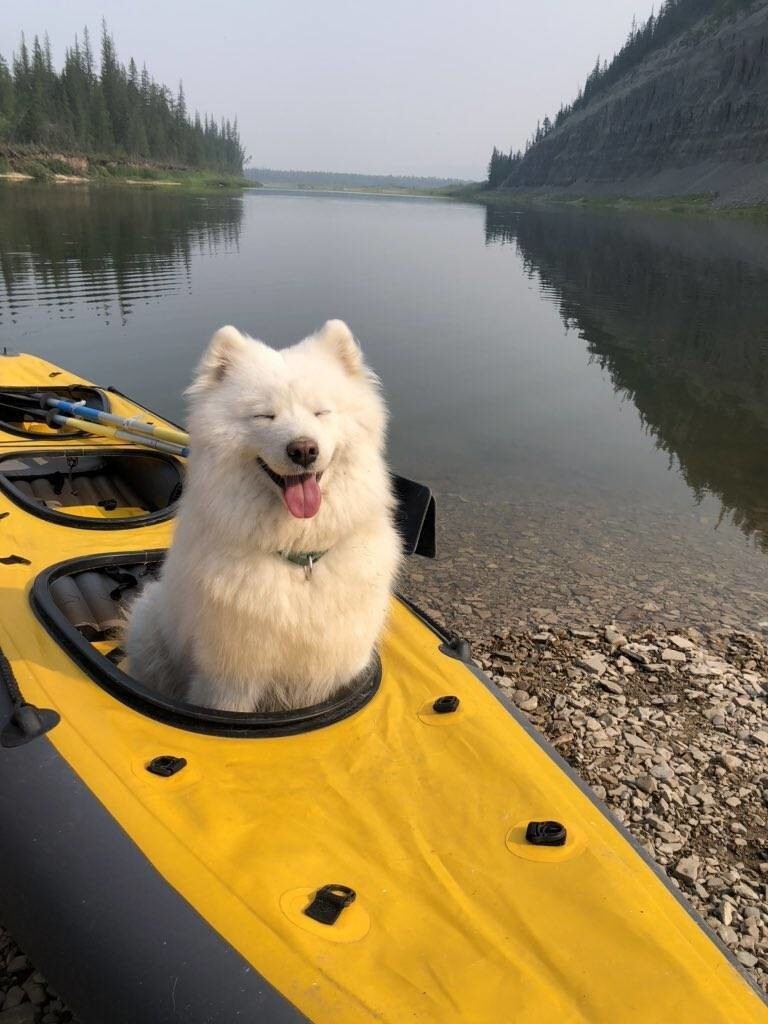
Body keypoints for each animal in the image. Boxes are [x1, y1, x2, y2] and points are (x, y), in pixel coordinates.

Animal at [124, 319, 403, 712]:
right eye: (264, 415)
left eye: (321, 412)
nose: (303, 449)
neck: (300, 557)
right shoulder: (229, 680)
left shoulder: (324, 676)